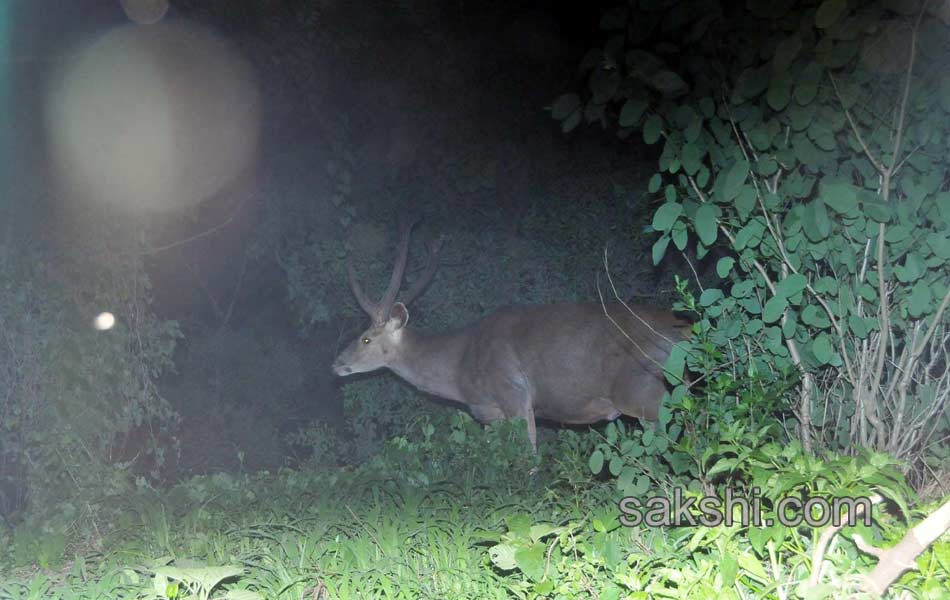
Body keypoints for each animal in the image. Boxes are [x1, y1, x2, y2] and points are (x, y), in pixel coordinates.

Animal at [330, 219, 688, 450]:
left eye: (365, 338)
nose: (335, 363)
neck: (459, 369)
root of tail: (684, 330)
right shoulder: (489, 413)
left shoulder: (514, 395)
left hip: (643, 391)